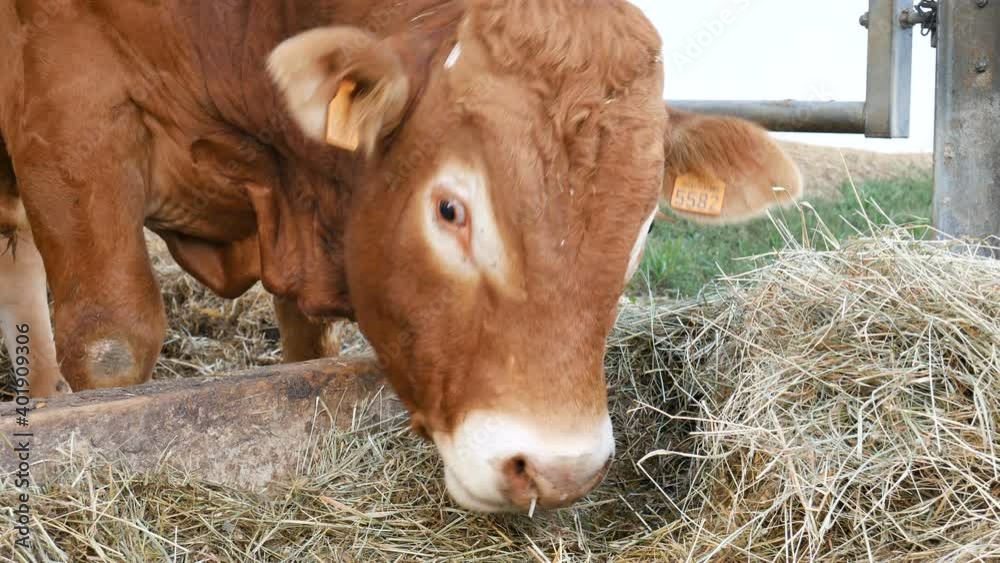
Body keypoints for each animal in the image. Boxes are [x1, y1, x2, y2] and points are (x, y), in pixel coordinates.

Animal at [0, 0, 802, 512]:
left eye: (644, 225)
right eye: (450, 209)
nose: (557, 470)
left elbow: (305, 352)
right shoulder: (70, 115)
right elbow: (111, 344)